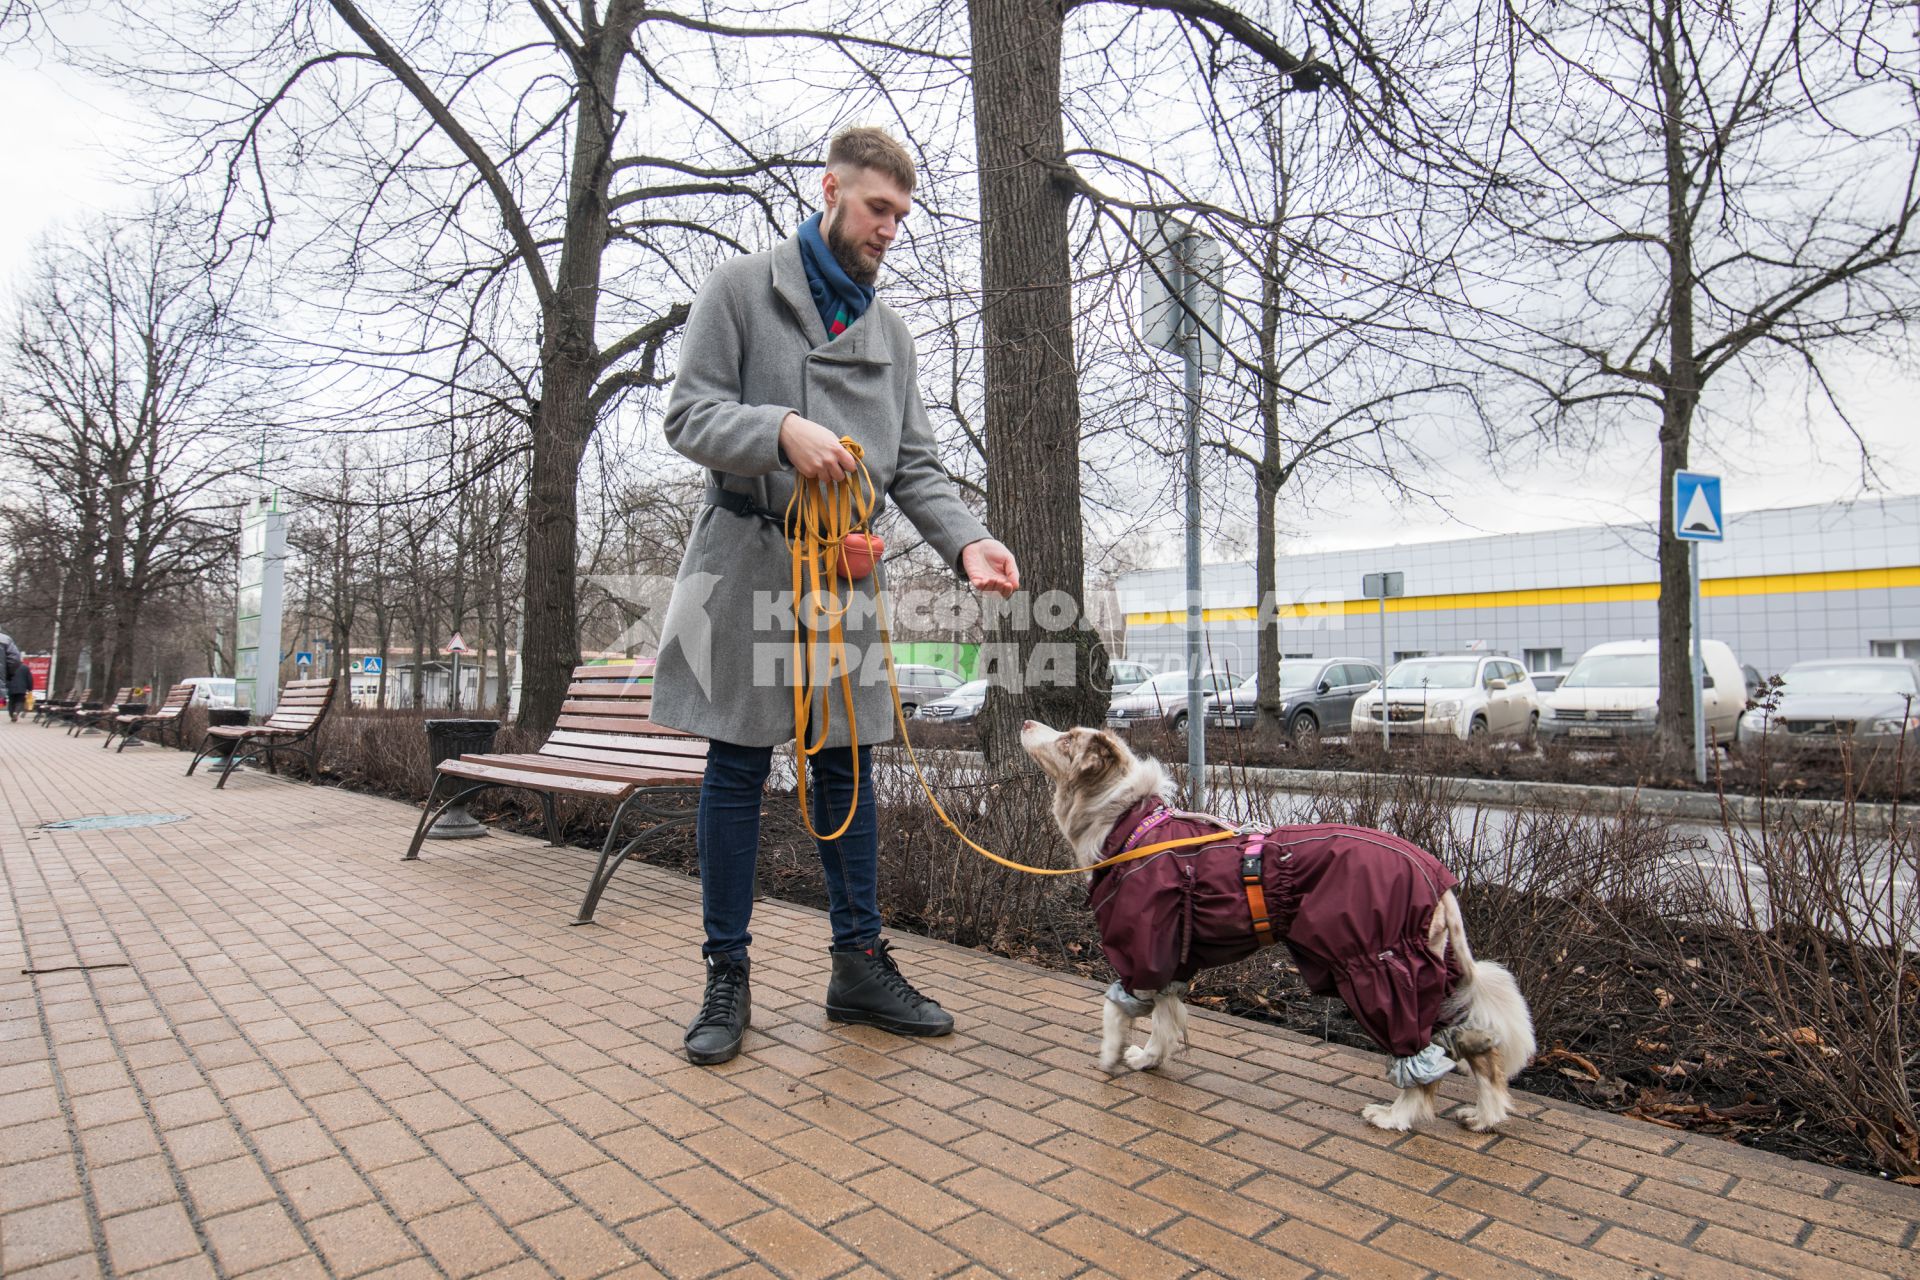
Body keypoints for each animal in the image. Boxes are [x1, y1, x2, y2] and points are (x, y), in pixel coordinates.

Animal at [1029, 721, 1536, 1128]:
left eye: (1068, 738)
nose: (1028, 722)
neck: (1131, 826)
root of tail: (1437, 877)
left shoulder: (1143, 949)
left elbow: (1117, 1010)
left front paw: (1110, 1057)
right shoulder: (1173, 955)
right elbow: (1166, 1021)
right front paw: (1149, 1059)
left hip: (1377, 968)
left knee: (1420, 1059)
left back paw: (1397, 1116)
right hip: (1433, 971)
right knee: (1479, 1048)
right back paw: (1485, 1116)